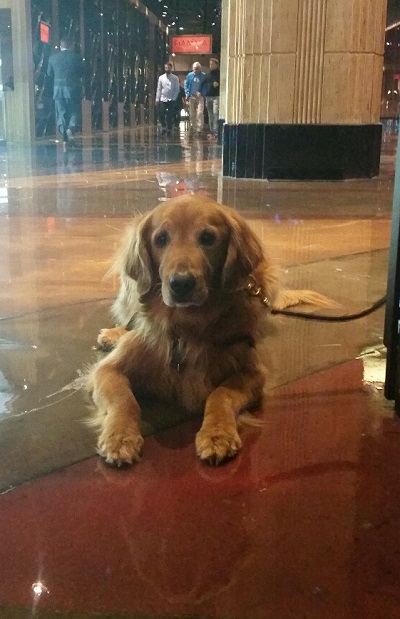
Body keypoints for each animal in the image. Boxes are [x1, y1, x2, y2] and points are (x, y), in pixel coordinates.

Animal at [86, 196, 332, 468]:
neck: (186, 327)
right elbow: (124, 399)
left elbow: (220, 393)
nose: (181, 283)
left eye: (207, 238)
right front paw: (120, 437)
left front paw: (217, 434)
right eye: (161, 239)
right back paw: (113, 334)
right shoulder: (109, 370)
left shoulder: (252, 372)